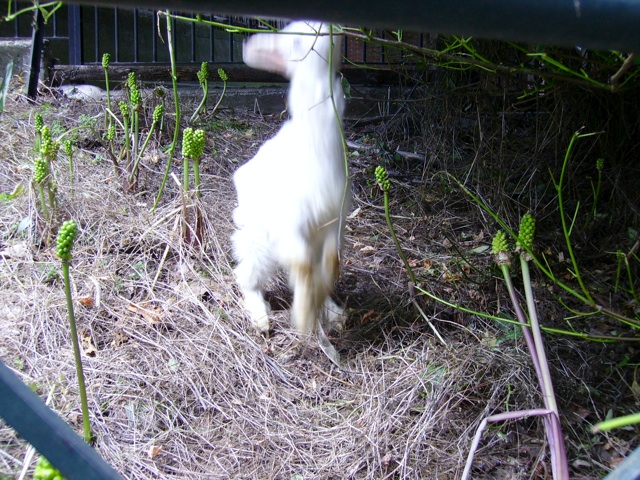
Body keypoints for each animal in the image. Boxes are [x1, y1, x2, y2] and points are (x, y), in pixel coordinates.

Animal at [231, 21, 350, 334]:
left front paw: (321, 303)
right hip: (259, 245)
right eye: (296, 41)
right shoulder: (291, 226)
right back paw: (261, 318)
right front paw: (305, 316)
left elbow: (332, 261)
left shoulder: (334, 221)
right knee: (246, 276)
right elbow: (304, 265)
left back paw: (334, 310)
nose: (332, 28)